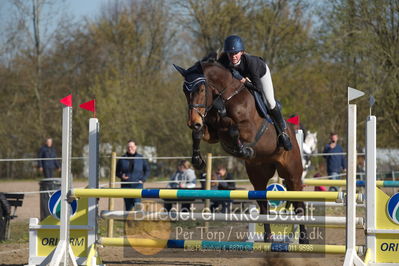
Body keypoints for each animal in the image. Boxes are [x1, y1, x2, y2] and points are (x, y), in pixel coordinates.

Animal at [173, 55, 310, 244]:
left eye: (201, 89)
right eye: (185, 91)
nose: (193, 121)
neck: (225, 98)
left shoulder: (249, 129)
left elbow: (233, 128)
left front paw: (244, 150)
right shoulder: (213, 132)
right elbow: (198, 133)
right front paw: (197, 160)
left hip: (292, 172)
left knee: (299, 202)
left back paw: (304, 239)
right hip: (258, 174)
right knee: (264, 205)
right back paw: (268, 238)